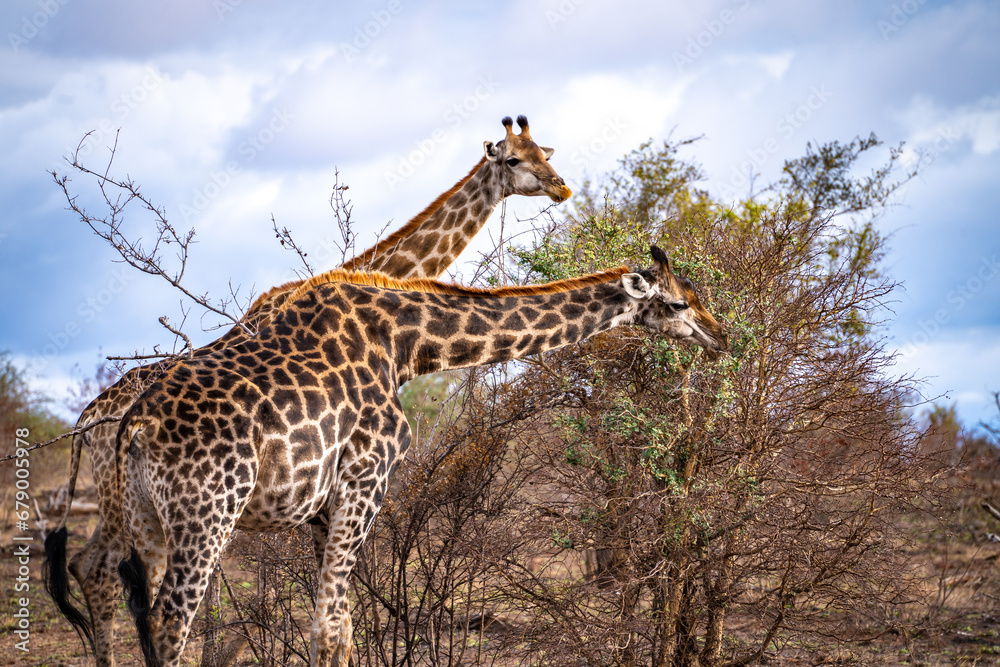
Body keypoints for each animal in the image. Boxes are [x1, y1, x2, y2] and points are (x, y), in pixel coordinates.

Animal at [43, 115, 571, 667]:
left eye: (545, 152)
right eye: (514, 159)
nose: (561, 187)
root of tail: (88, 419)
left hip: (127, 505)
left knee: (94, 567)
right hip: (140, 501)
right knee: (110, 575)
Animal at [111, 246, 727, 667]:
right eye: (678, 301)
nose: (720, 336)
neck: (406, 345)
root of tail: (135, 426)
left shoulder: (322, 508)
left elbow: (342, 624)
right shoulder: (367, 478)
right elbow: (329, 626)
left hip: (147, 520)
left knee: (143, 617)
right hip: (209, 512)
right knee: (170, 624)